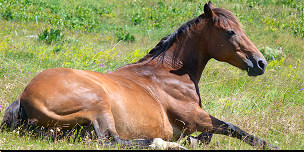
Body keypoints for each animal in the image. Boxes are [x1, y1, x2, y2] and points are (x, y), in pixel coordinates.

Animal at [0, 1, 278, 150]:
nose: (261, 63)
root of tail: (25, 98)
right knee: (111, 140)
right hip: (99, 104)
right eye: (230, 32)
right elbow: (232, 128)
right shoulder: (195, 117)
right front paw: (271, 145)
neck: (168, 74)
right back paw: (163, 143)